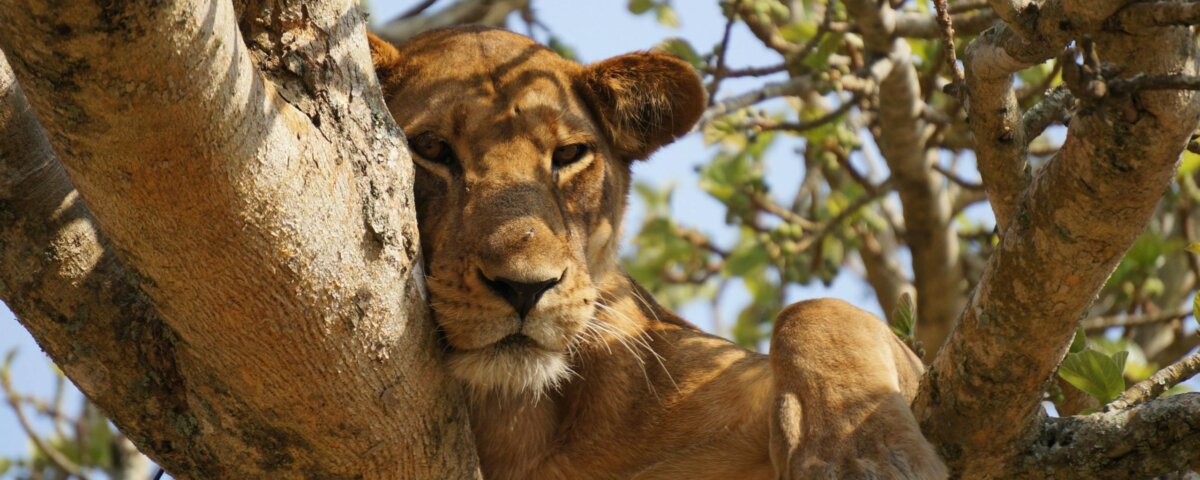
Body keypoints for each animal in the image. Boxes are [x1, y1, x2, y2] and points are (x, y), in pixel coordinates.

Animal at [368, 26, 948, 480]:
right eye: (431, 149)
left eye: (569, 154)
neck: (518, 422)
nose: (525, 287)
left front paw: (859, 451)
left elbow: (817, 312)